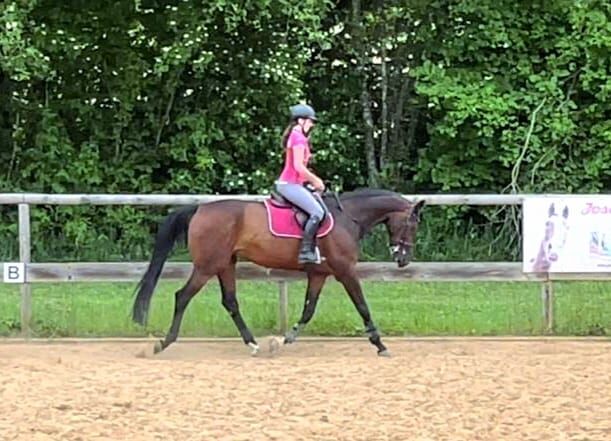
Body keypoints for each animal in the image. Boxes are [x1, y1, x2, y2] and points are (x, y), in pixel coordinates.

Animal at [131, 187, 424, 356]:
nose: (403, 259)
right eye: (413, 224)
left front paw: (285, 339)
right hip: (207, 266)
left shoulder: (319, 274)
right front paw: (380, 344)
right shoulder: (345, 271)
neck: (347, 217)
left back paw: (252, 343)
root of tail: (200, 208)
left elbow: (308, 309)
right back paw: (164, 343)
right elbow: (362, 306)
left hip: (226, 264)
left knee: (230, 301)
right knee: (183, 296)